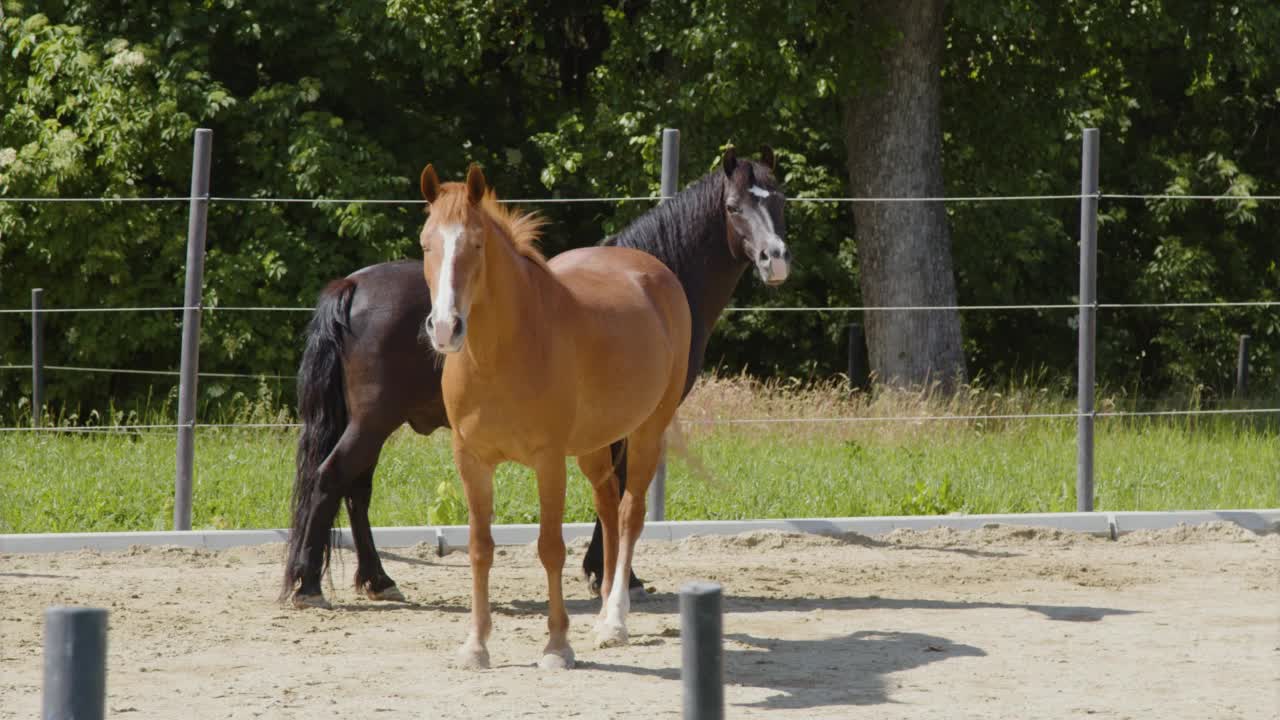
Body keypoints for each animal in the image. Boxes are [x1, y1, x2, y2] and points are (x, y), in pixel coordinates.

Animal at [282, 146, 788, 604]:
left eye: (780, 199)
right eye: (733, 207)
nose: (774, 257)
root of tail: (353, 285)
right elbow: (620, 487)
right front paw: (614, 576)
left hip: (371, 423)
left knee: (355, 489)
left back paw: (377, 579)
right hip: (372, 421)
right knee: (331, 478)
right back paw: (307, 584)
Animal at [419, 163, 691, 666]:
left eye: (476, 244)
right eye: (427, 243)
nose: (445, 328)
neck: (501, 353)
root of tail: (654, 272)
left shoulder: (548, 461)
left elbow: (550, 548)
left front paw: (558, 644)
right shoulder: (471, 461)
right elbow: (480, 548)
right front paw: (476, 644)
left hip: (647, 431)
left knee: (629, 514)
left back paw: (615, 621)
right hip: (593, 446)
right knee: (607, 507)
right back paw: (602, 611)